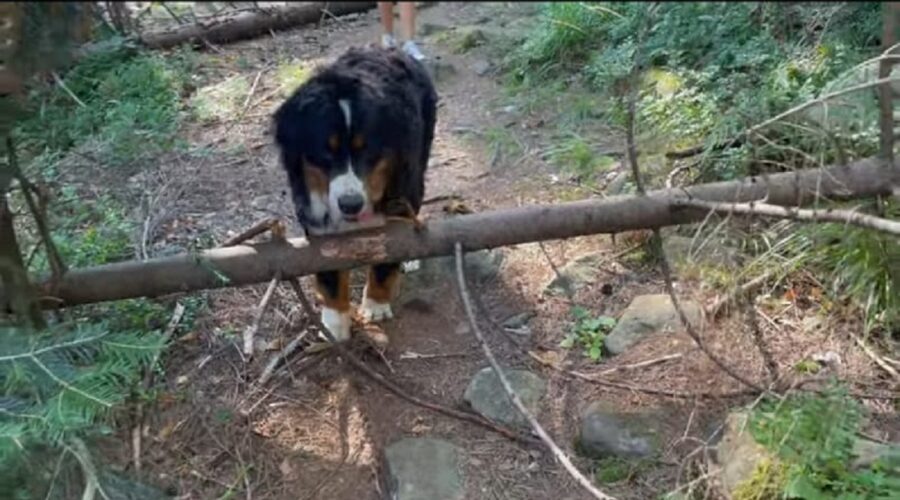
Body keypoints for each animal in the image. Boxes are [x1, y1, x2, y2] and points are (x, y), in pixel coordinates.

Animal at [272, 46, 438, 344]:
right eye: (326, 152)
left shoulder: (398, 199)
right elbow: (329, 273)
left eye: (368, 151)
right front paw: (334, 322)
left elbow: (387, 259)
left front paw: (375, 305)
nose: (350, 205)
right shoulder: (316, 214)